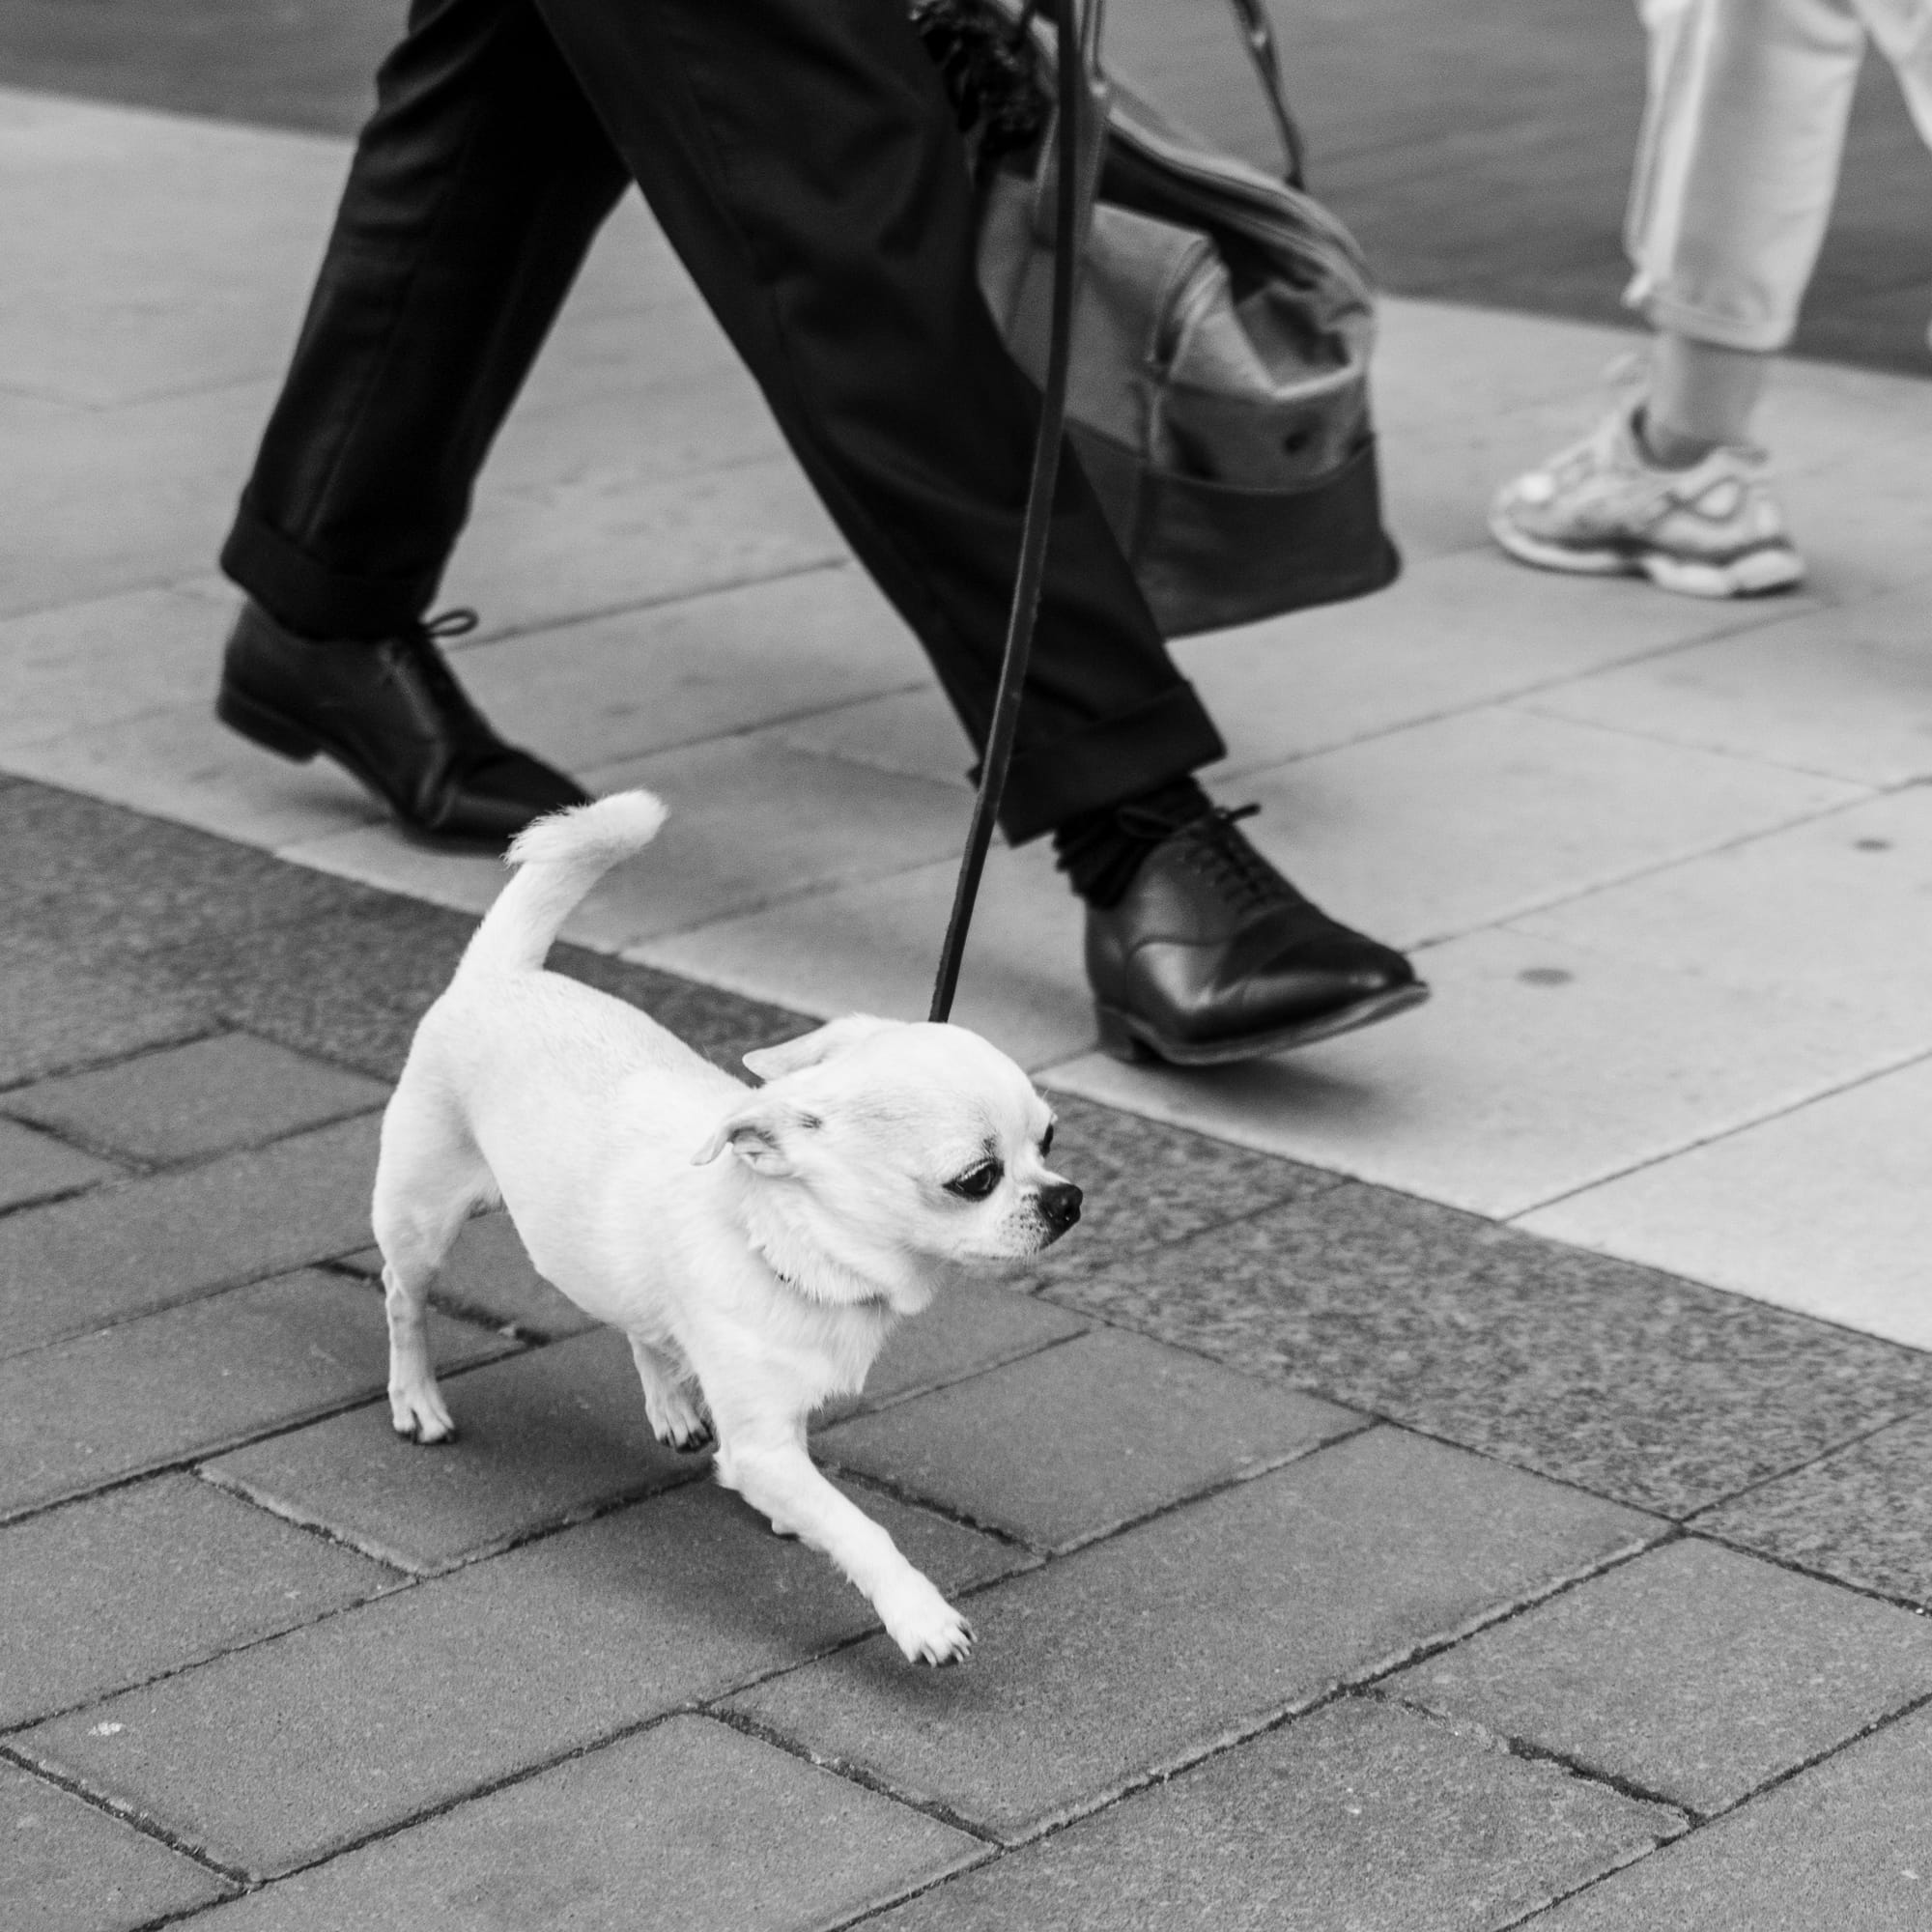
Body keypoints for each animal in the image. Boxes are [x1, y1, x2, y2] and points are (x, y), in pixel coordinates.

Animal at [371, 790, 1082, 1664]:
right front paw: (918, 1614)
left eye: (1049, 1140)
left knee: (635, 1318)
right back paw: (416, 1400)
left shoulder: (782, 1419)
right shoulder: (761, 1445)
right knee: (402, 1298)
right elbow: (859, 1526)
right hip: (421, 1216)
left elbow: (818, 1498)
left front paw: (794, 1519)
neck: (792, 1249)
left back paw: (669, 1403)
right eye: (977, 1179)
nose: (1068, 1199)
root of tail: (501, 974)